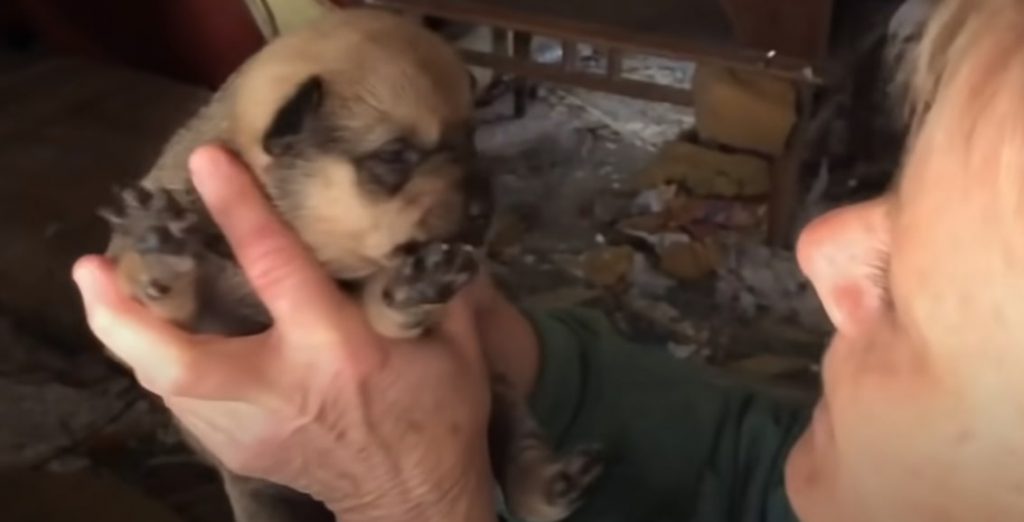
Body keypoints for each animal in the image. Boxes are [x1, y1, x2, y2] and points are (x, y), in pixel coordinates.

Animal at [97, 7, 598, 522]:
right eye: (394, 155)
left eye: (471, 137)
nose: (486, 209)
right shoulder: (206, 328)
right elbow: (166, 302)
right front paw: (155, 248)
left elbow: (385, 308)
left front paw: (411, 291)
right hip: (263, 496)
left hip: (499, 391)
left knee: (518, 449)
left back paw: (549, 485)